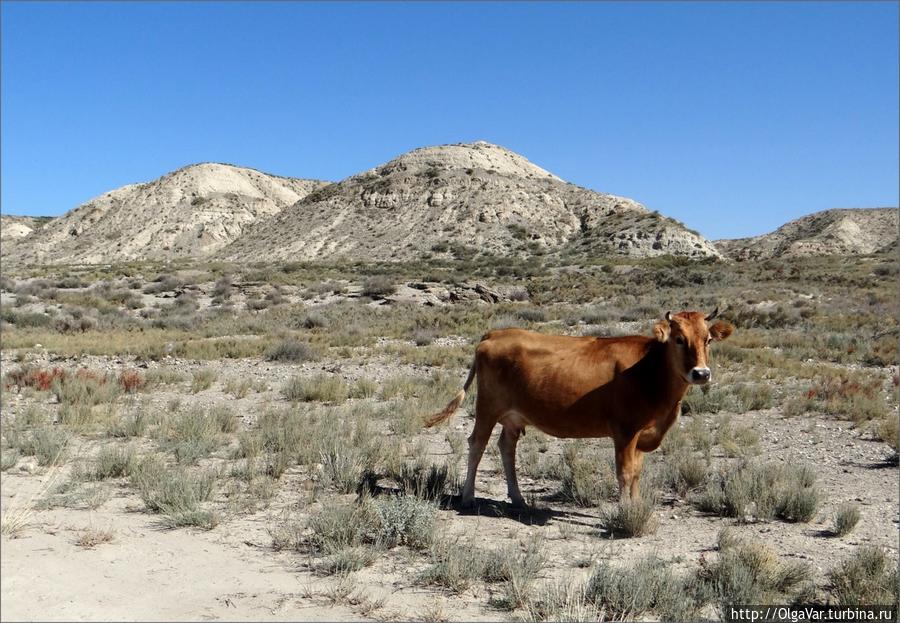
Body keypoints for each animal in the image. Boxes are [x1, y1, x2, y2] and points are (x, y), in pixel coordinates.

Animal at [428, 308, 732, 508]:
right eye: (679, 339)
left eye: (708, 340)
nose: (701, 373)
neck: (650, 369)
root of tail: (495, 333)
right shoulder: (625, 431)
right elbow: (625, 472)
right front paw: (626, 510)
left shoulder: (642, 434)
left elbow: (636, 473)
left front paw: (636, 505)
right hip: (487, 408)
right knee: (477, 444)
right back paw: (468, 497)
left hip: (514, 416)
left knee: (506, 447)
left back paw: (518, 498)